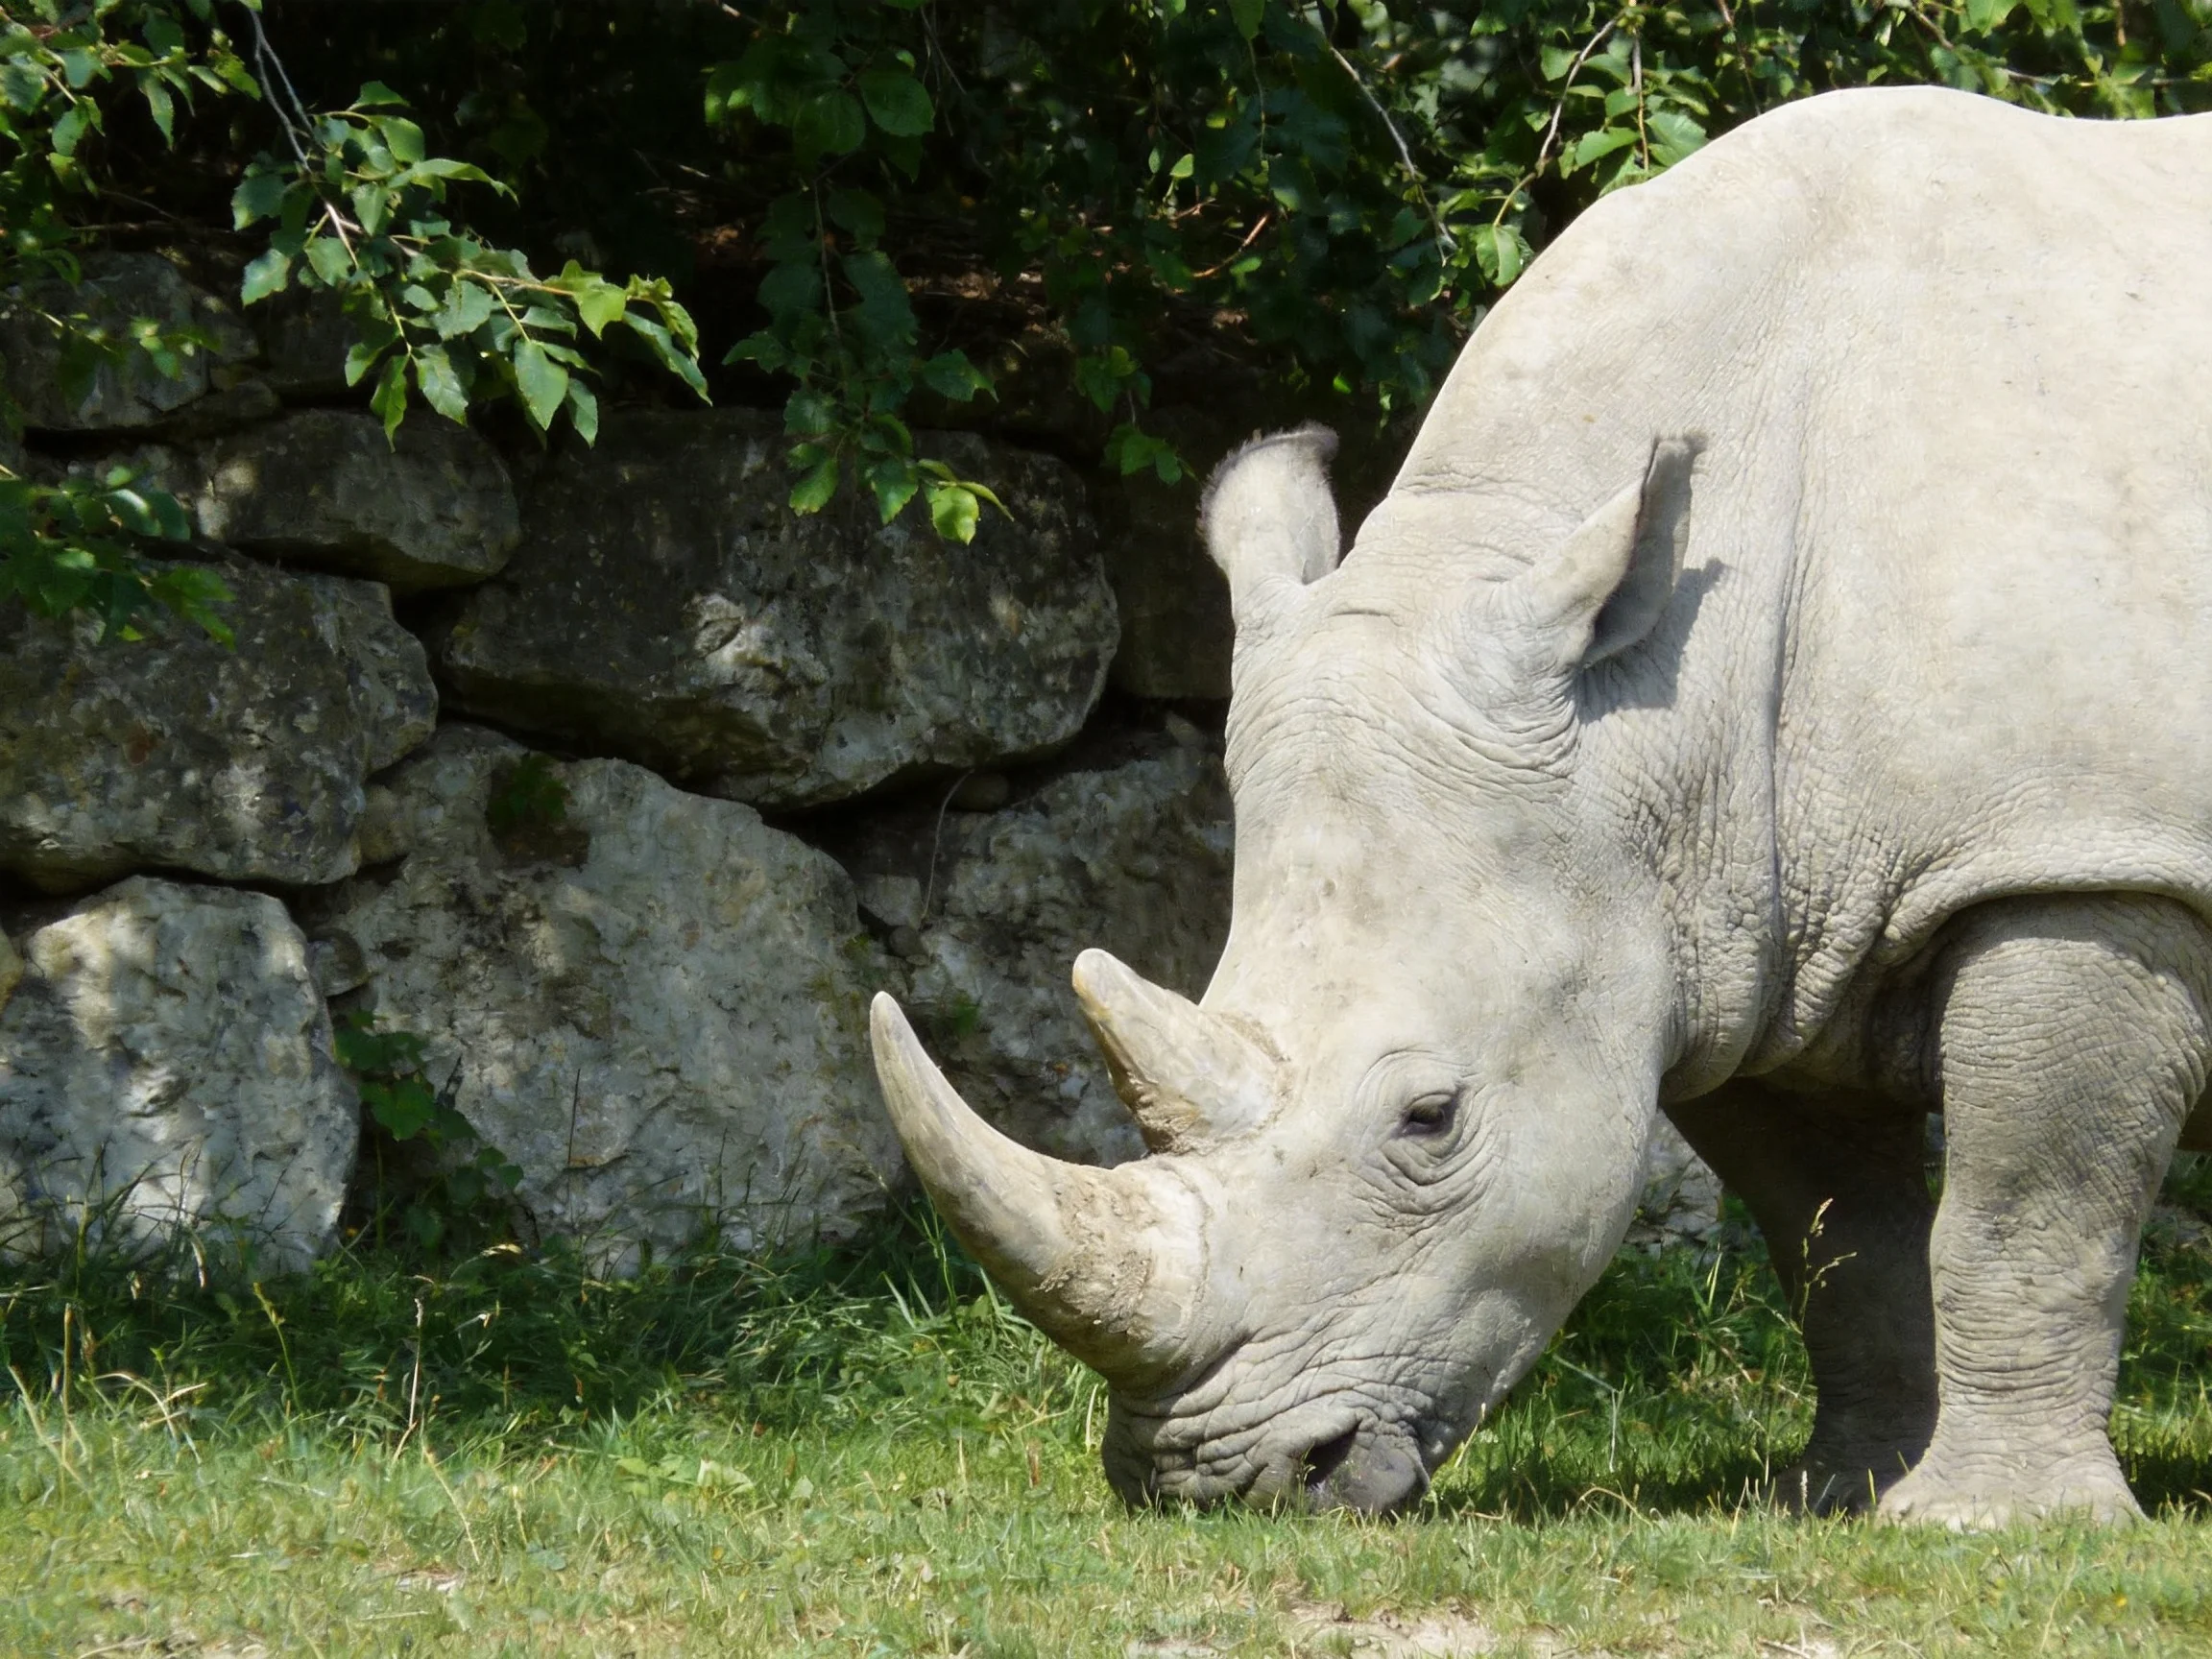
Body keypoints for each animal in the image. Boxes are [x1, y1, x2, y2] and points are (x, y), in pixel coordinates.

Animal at [869, 85, 2212, 1525]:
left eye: (1430, 1119)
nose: (1214, 1484)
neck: (1659, 709)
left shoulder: (2077, 854)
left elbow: (2025, 1214)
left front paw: (1987, 1525)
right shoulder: (1749, 928)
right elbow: (1838, 1240)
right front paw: (1842, 1497)